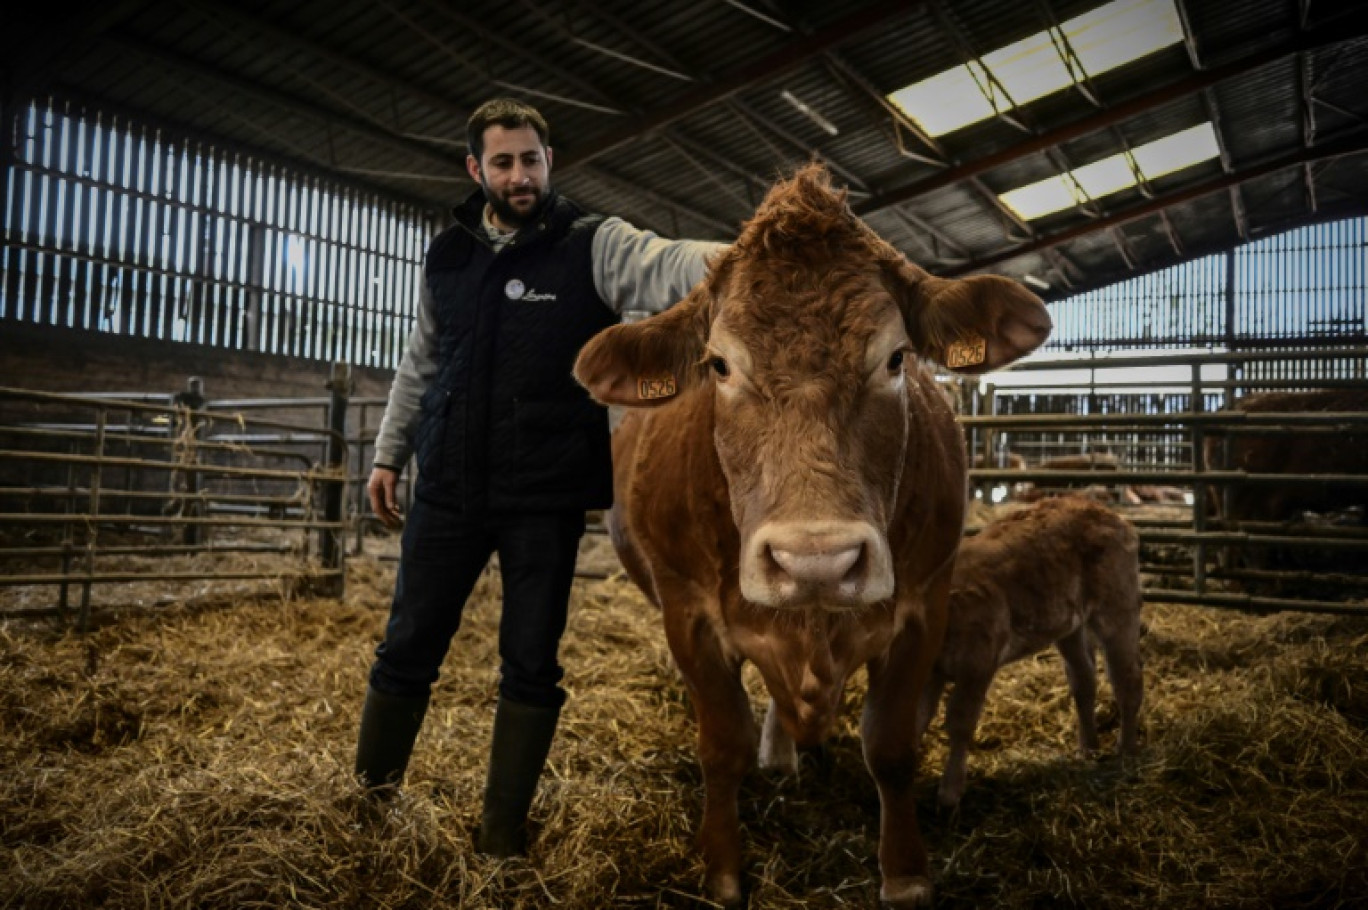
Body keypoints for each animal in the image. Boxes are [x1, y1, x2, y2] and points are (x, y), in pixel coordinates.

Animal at [571, 164, 1050, 908]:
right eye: (719, 365)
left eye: (896, 358)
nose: (816, 561)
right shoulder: (687, 612)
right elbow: (722, 744)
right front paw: (723, 870)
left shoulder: (925, 601)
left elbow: (891, 745)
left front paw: (905, 872)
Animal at [919, 492, 1143, 804]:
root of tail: (1105, 512)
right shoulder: (930, 671)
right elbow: (916, 721)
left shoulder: (978, 663)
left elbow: (960, 722)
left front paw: (949, 793)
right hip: (1069, 624)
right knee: (1084, 680)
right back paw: (1088, 748)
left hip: (1117, 608)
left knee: (1127, 680)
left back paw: (1126, 751)